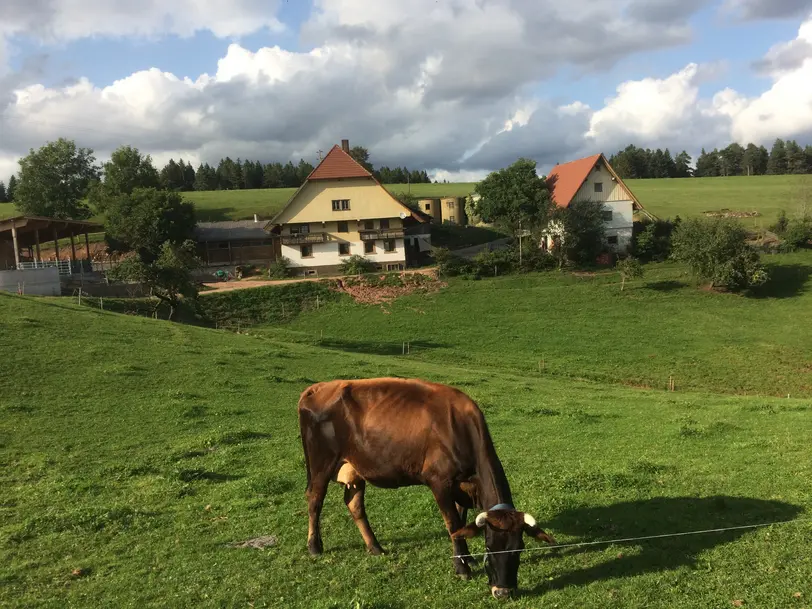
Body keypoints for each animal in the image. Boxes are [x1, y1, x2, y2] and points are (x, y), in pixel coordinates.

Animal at [298, 376, 560, 600]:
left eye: (519, 549)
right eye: (489, 546)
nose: (502, 592)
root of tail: (318, 387)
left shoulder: (461, 486)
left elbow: (461, 521)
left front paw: (468, 559)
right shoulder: (439, 482)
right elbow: (452, 524)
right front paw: (461, 568)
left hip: (355, 467)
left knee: (354, 504)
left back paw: (375, 547)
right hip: (321, 463)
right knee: (315, 499)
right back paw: (314, 546)